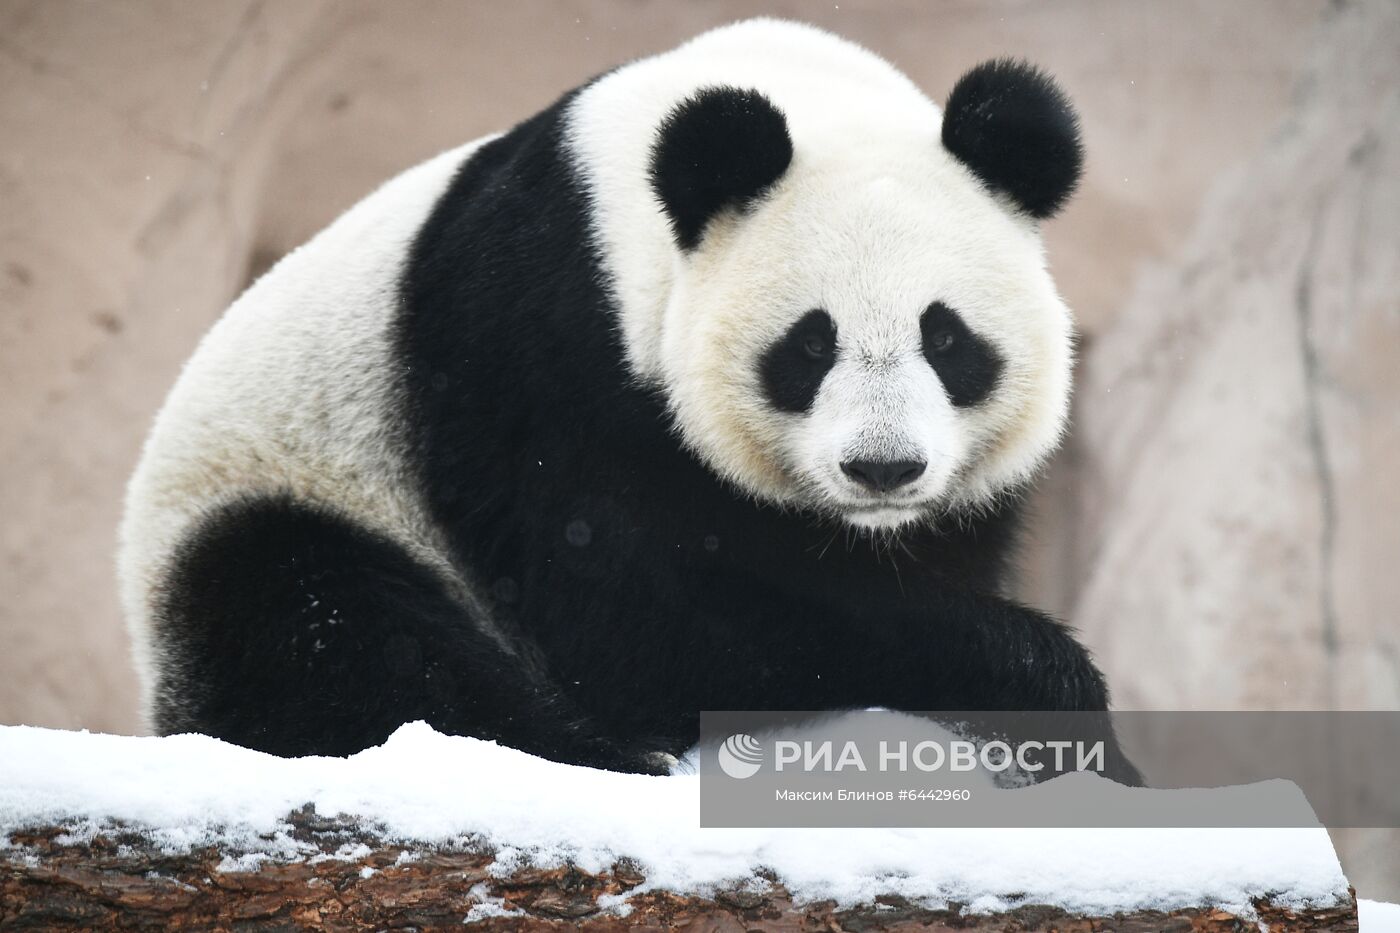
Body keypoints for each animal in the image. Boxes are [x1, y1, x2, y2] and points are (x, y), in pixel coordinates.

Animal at [114, 19, 1131, 778]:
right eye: (809, 345)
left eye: (947, 338)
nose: (883, 469)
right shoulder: (543, 346)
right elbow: (640, 620)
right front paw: (1047, 681)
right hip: (285, 489)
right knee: (334, 634)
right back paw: (593, 755)